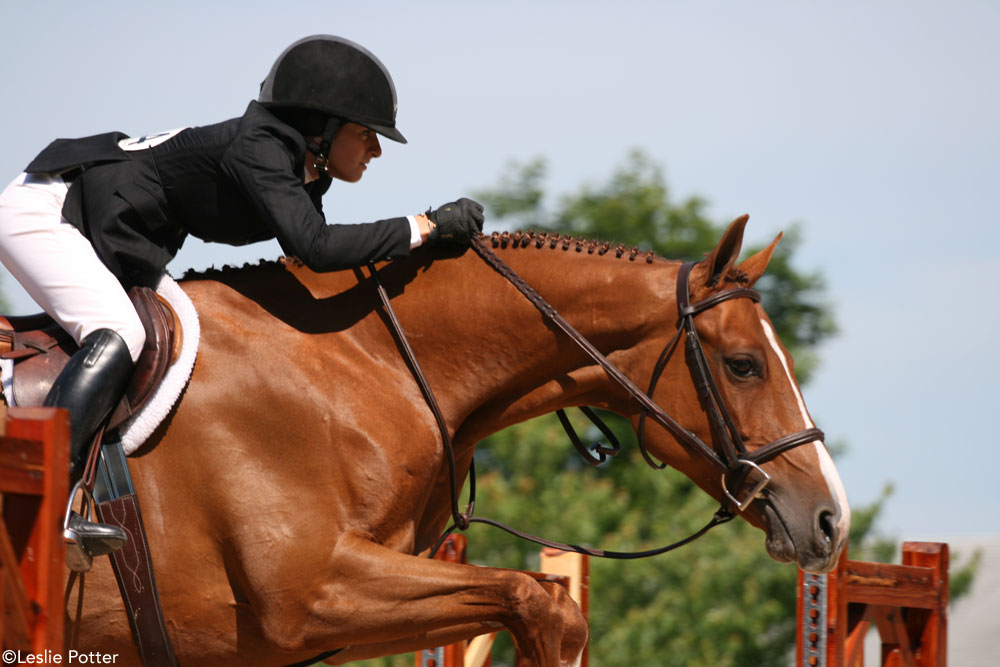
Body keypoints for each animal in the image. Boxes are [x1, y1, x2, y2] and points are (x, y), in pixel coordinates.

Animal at [68, 217, 852, 664]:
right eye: (744, 364)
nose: (830, 520)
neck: (360, 362)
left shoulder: (336, 621)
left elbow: (539, 600)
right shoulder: (309, 593)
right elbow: (542, 601)